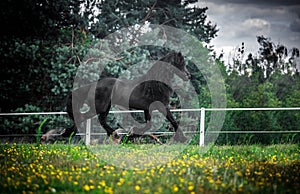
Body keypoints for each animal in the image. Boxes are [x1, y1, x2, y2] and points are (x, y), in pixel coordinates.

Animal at [62, 51, 190, 142]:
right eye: (181, 63)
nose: (188, 76)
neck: (155, 85)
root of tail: (93, 84)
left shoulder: (147, 109)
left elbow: (148, 125)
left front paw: (132, 134)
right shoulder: (162, 106)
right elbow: (173, 121)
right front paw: (183, 139)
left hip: (105, 108)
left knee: (101, 120)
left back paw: (114, 134)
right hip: (100, 107)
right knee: (83, 117)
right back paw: (68, 133)